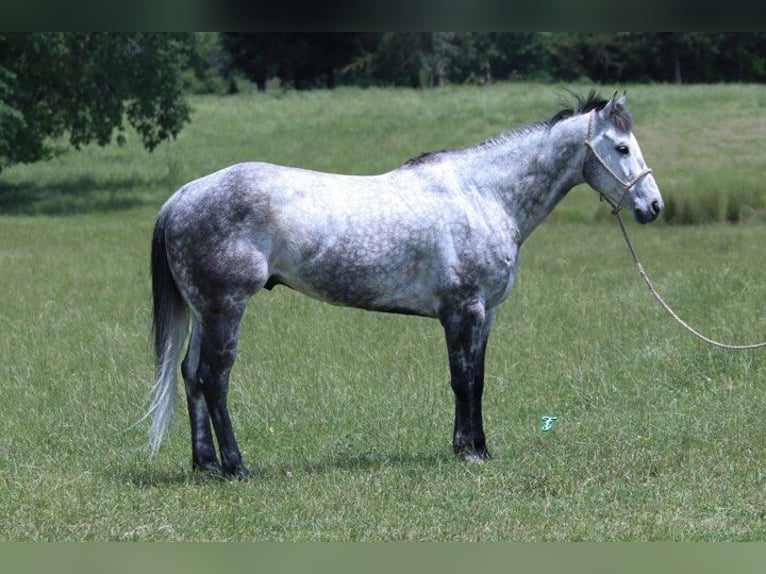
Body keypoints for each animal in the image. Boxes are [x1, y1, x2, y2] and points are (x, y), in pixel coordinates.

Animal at [147, 90, 664, 480]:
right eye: (621, 148)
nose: (654, 206)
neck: (483, 195)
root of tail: (182, 196)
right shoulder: (462, 310)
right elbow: (462, 379)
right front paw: (470, 451)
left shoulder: (486, 313)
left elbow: (478, 379)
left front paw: (475, 446)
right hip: (226, 310)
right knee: (214, 379)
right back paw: (235, 467)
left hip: (204, 312)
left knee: (190, 375)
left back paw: (205, 464)